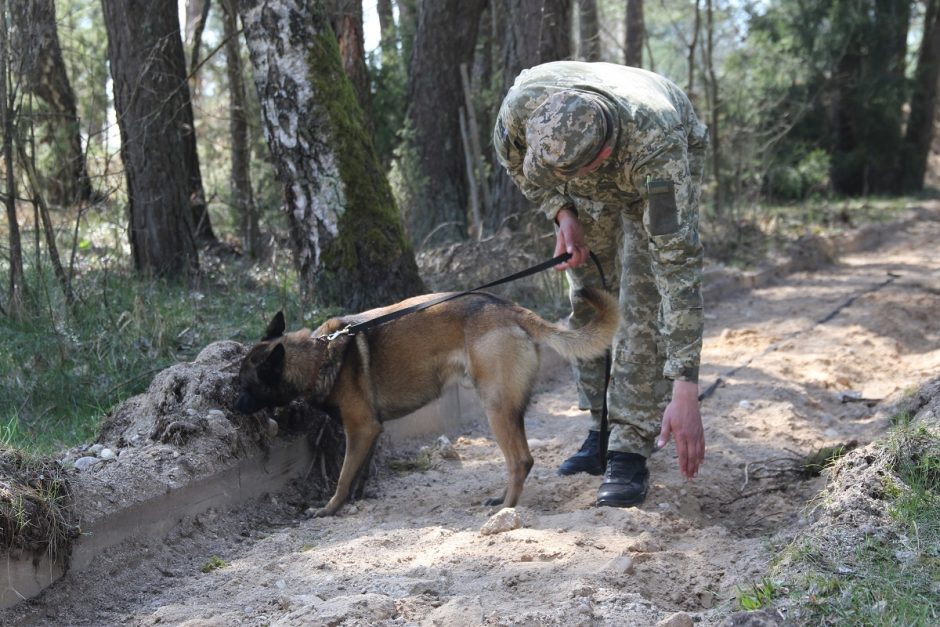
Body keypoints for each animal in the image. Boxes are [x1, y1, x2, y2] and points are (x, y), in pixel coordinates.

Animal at [234, 288, 616, 516]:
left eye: (245, 385)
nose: (233, 406)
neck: (319, 355)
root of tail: (514, 310)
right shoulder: (370, 431)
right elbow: (358, 472)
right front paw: (355, 499)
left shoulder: (360, 427)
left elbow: (342, 476)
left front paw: (329, 508)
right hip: (510, 409)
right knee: (523, 459)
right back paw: (503, 498)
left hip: (495, 408)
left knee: (520, 460)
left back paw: (505, 508)